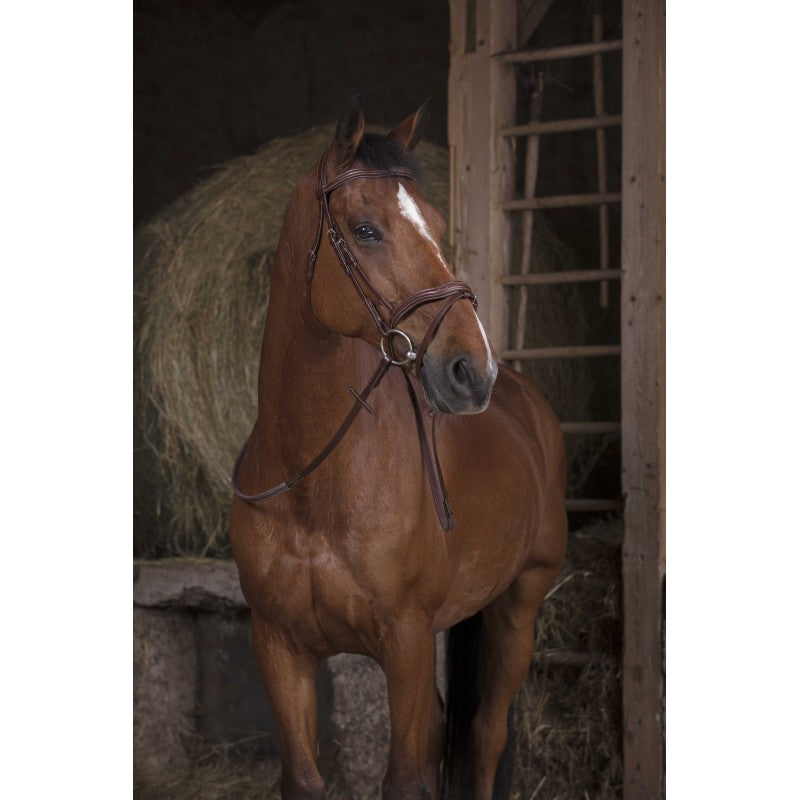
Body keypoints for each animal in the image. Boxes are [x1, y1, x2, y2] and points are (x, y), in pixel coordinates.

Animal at [229, 97, 567, 800]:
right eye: (365, 230)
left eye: (436, 225)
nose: (471, 371)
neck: (312, 483)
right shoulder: (278, 647)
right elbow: (305, 778)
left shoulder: (407, 644)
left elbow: (409, 778)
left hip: (520, 604)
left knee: (485, 735)